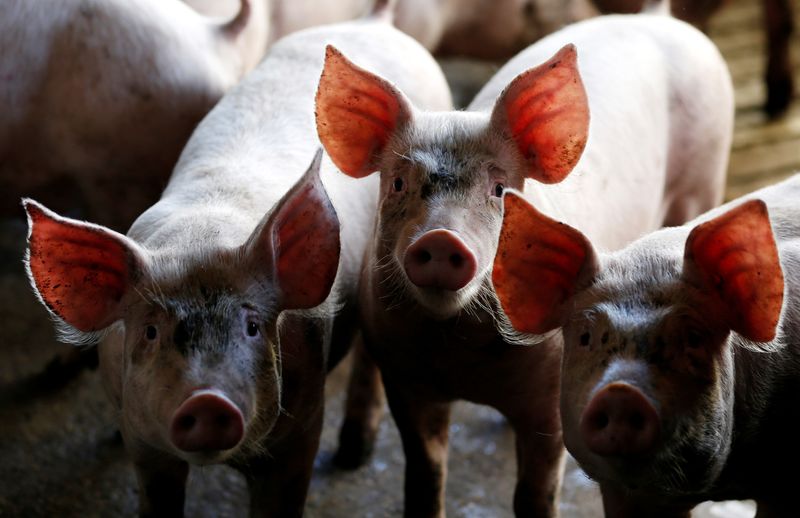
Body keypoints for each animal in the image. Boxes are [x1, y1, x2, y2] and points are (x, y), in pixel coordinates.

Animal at [21, 7, 454, 516]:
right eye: (150, 331)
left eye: (251, 327)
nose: (208, 401)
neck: (202, 234)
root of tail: (375, 22)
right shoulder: (145, 446)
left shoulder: (301, 428)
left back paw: (352, 455)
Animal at [316, 11, 736, 518]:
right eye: (398, 183)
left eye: (499, 190)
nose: (440, 238)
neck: (462, 359)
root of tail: (658, 16)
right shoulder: (408, 381)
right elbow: (425, 474)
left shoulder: (552, 395)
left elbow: (535, 490)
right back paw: (350, 456)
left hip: (705, 178)